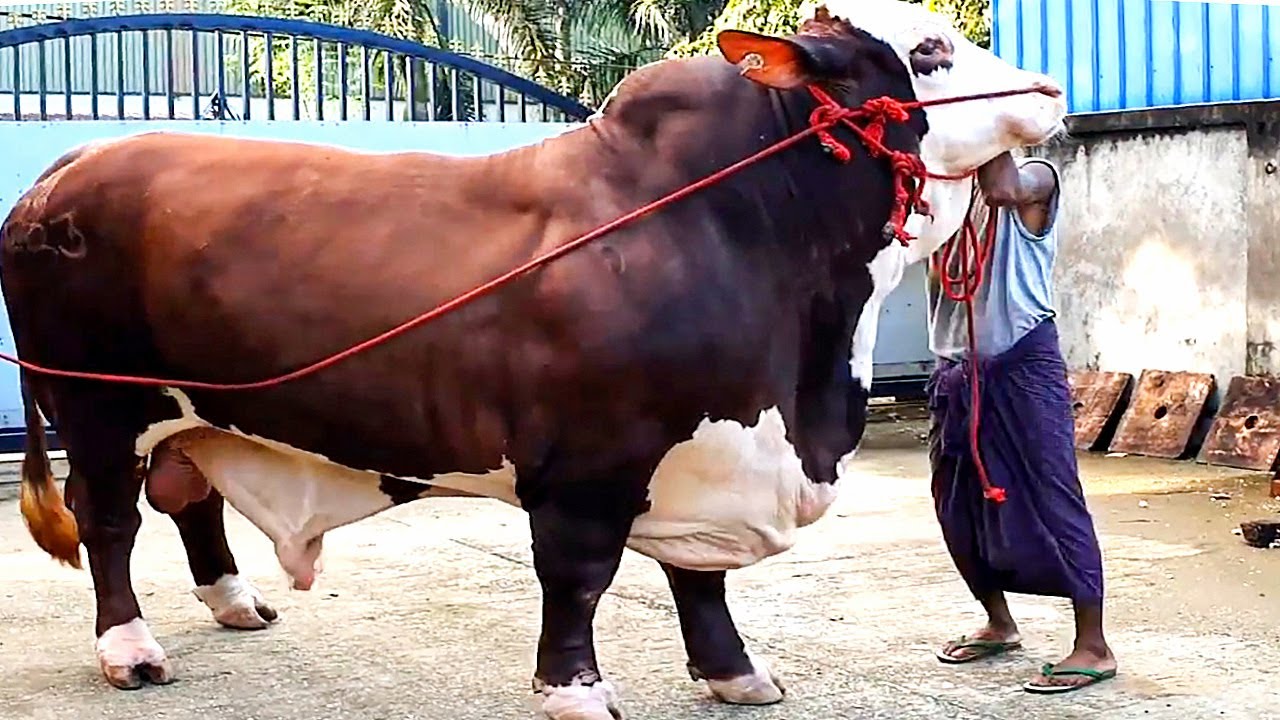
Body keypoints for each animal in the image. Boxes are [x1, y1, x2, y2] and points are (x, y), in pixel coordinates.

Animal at [1, 7, 1064, 720]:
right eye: (929, 52)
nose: (1053, 89)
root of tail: (61, 170)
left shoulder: (700, 448)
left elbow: (698, 580)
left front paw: (734, 672)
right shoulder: (593, 461)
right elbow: (580, 576)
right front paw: (575, 690)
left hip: (197, 409)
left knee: (191, 496)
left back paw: (233, 602)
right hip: (98, 408)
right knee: (109, 521)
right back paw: (130, 648)